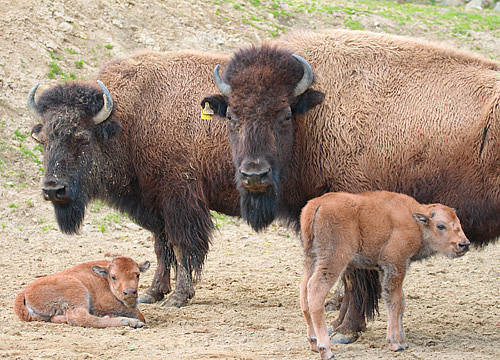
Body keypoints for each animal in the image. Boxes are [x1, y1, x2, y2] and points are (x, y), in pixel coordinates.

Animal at [13, 255, 149, 328]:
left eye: (137, 275)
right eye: (114, 276)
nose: (130, 293)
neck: (104, 278)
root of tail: (24, 292)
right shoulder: (105, 303)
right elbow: (139, 315)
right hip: (77, 291)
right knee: (79, 317)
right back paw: (129, 322)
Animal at [27, 50, 240, 308]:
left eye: (83, 138)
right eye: (43, 140)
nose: (53, 189)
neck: (130, 118)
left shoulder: (179, 202)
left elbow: (181, 246)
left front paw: (178, 297)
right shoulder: (156, 207)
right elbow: (162, 247)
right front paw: (153, 292)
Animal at [300, 190, 468, 358]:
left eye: (458, 223)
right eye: (441, 226)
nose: (464, 244)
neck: (415, 220)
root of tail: (318, 205)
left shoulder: (385, 270)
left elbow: (400, 302)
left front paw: (402, 342)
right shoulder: (395, 265)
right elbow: (395, 302)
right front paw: (395, 343)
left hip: (312, 259)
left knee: (304, 291)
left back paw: (313, 342)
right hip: (333, 260)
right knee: (316, 290)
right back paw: (325, 349)